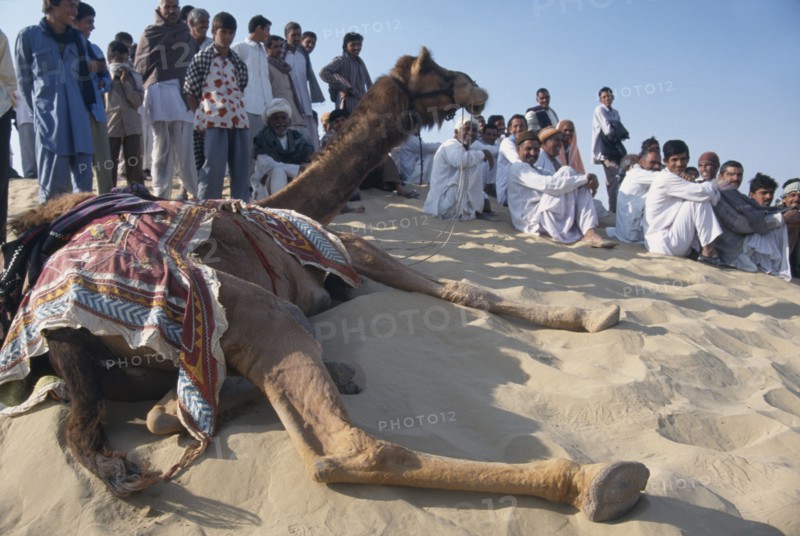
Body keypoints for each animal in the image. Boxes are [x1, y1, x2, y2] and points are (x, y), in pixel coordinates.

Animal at [0, 48, 647, 523]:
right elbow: (465, 290)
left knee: (161, 415)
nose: (477, 90)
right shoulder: (354, 251)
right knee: (345, 450)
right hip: (245, 311)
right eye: (436, 70)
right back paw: (599, 481)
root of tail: (51, 320)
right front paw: (593, 315)